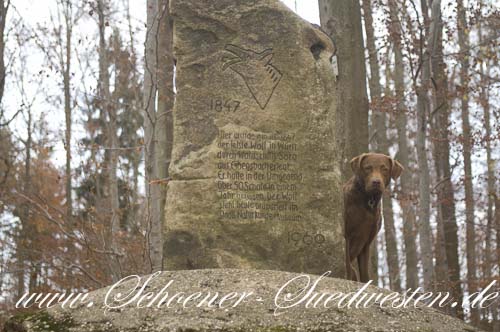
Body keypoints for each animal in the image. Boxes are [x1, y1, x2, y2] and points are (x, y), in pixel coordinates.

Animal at [344, 153, 402, 282]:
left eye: (384, 169)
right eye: (368, 168)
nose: (376, 182)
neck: (368, 200)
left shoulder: (366, 242)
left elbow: (365, 273)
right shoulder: (347, 235)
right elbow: (348, 268)